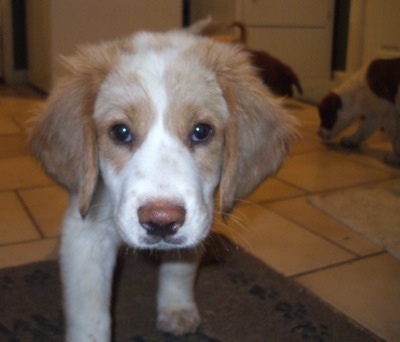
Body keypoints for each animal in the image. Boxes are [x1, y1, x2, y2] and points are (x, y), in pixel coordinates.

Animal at [28, 30, 296, 342]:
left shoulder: (199, 218)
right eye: (120, 132)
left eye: (201, 131)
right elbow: (89, 310)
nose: (160, 221)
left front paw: (177, 308)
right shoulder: (86, 231)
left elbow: (180, 268)